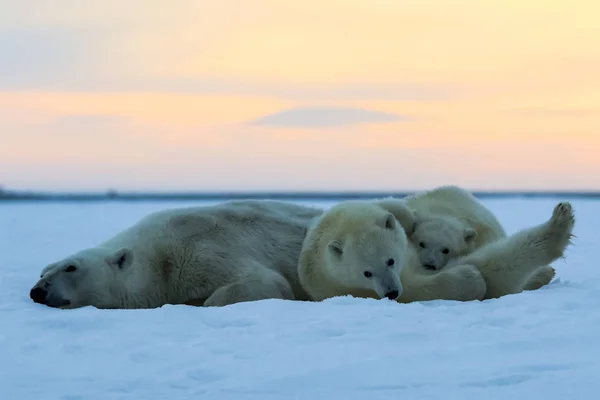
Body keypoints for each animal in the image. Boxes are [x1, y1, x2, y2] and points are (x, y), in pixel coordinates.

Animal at [29, 200, 324, 310]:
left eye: (71, 267)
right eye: (42, 271)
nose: (37, 291)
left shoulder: (202, 248)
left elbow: (269, 281)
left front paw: (205, 300)